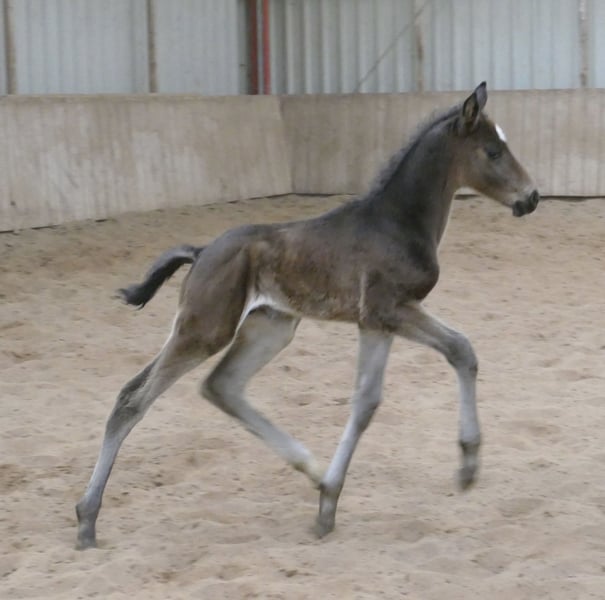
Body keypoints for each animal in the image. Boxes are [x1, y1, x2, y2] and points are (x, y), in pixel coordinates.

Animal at [76, 82, 539, 549]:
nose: (532, 197)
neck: (396, 222)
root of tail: (202, 251)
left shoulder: (376, 322)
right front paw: (467, 465)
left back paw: (314, 470)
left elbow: (367, 401)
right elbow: (461, 349)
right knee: (133, 398)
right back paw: (86, 520)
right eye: (493, 151)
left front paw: (329, 499)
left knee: (222, 386)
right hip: (205, 329)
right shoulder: (391, 309)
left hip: (270, 328)